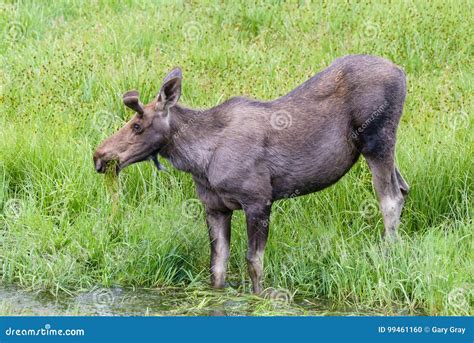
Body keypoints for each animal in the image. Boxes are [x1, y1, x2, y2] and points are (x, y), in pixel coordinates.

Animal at [94, 55, 410, 294]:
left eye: (137, 126)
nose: (99, 155)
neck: (200, 160)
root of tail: (401, 72)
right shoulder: (215, 208)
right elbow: (217, 266)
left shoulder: (258, 199)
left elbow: (253, 262)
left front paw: (258, 299)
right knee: (404, 188)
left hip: (377, 140)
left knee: (390, 198)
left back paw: (388, 256)